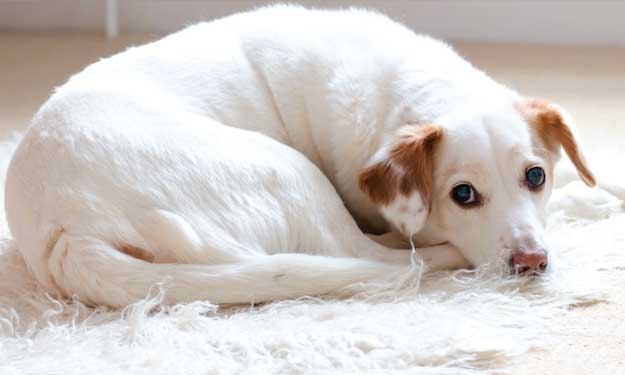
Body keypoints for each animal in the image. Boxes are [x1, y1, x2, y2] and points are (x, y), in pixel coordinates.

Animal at [7, 6, 596, 308]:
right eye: (463, 195)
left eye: (536, 176)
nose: (532, 263)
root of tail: (67, 230)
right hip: (290, 171)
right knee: (381, 258)